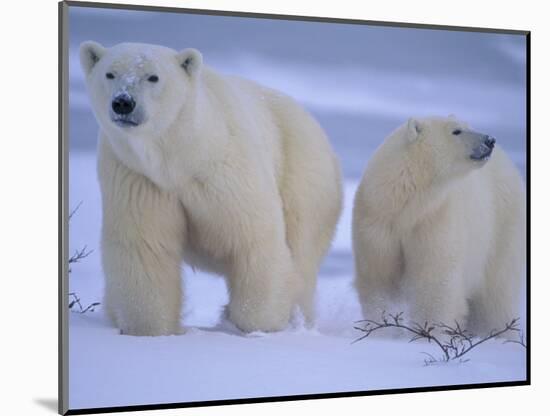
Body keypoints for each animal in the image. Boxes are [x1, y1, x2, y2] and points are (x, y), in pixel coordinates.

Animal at [80, 41, 342, 334]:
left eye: (153, 77)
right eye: (110, 74)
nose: (123, 102)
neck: (182, 156)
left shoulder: (225, 170)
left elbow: (254, 239)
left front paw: (256, 324)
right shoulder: (137, 176)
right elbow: (145, 247)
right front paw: (151, 329)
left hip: (302, 173)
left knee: (301, 249)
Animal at [356, 117, 528, 334]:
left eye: (467, 126)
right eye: (457, 131)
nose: (490, 140)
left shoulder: (434, 220)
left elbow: (433, 283)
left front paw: (428, 333)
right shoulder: (379, 225)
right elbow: (379, 280)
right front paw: (383, 332)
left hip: (502, 228)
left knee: (496, 293)